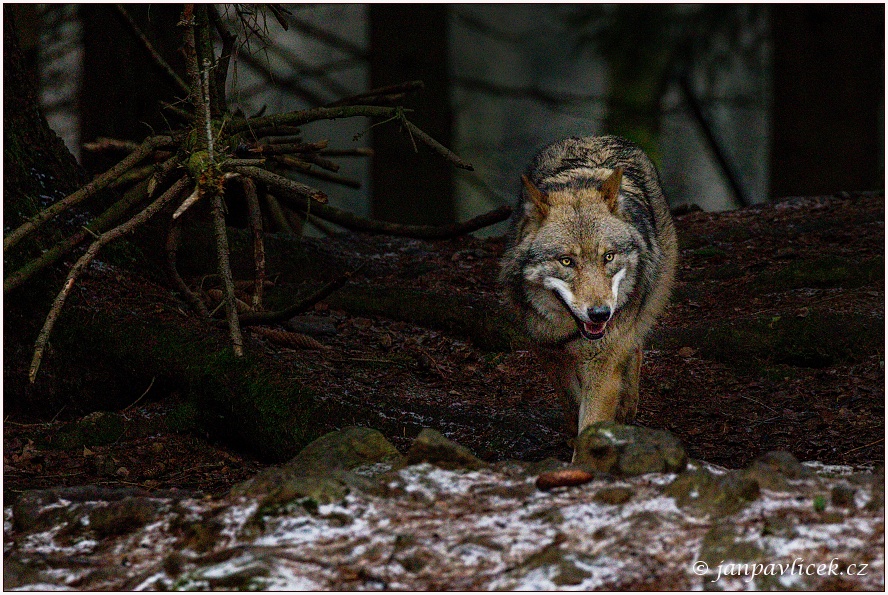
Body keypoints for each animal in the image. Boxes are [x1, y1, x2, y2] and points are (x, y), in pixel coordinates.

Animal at [496, 136, 676, 442]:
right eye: (567, 261)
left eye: (608, 257)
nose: (601, 314)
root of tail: (597, 138)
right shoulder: (546, 351)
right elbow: (571, 402)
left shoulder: (601, 363)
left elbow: (592, 418)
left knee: (635, 348)